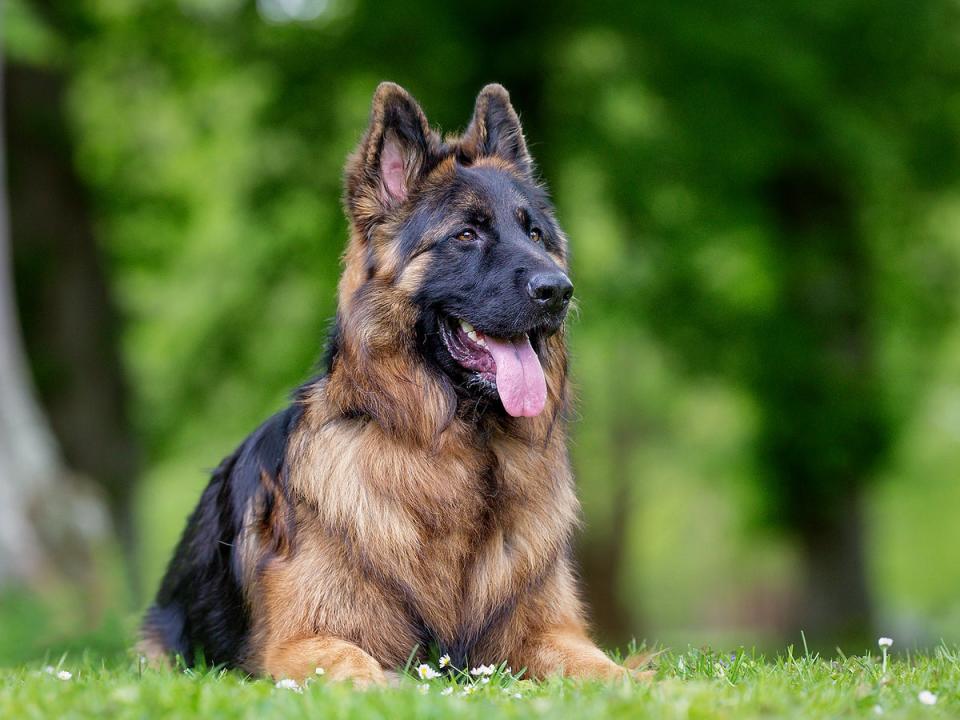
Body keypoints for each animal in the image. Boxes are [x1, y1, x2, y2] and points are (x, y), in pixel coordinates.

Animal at [141, 81, 636, 684]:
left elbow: (609, 670)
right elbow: (359, 666)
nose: (559, 290)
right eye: (466, 234)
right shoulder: (300, 642)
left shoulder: (552, 631)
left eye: (536, 234)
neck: (457, 451)